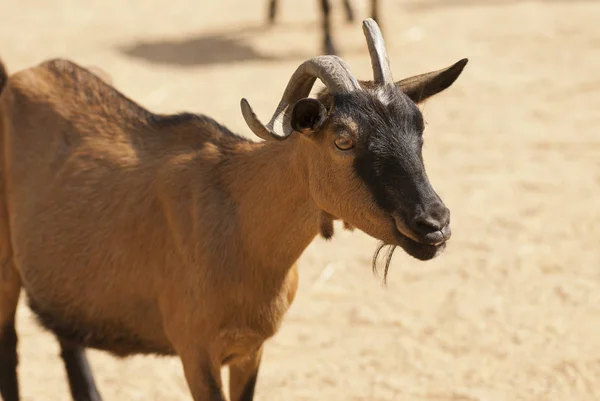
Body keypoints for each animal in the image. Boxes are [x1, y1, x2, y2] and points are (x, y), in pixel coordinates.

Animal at [0, 18, 468, 400]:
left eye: (419, 127)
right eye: (343, 139)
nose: (433, 223)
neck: (241, 220)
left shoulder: (250, 349)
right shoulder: (195, 350)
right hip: (6, 266)